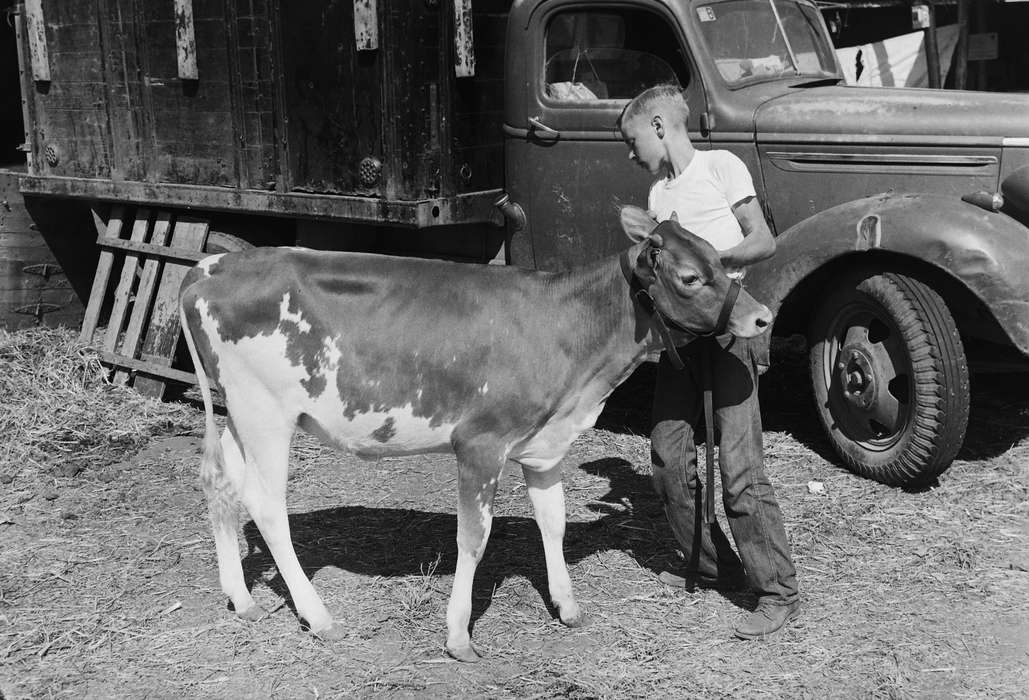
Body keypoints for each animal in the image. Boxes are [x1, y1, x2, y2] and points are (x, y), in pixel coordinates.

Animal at [178, 206, 772, 662]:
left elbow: (553, 524)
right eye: (690, 277)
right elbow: (473, 539)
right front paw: (459, 634)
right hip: (265, 414)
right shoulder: (481, 444)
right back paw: (317, 614)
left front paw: (567, 605)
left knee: (219, 483)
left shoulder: (545, 447)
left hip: (239, 415)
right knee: (265, 505)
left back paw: (243, 599)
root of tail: (213, 264)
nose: (762, 317)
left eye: (720, 258)